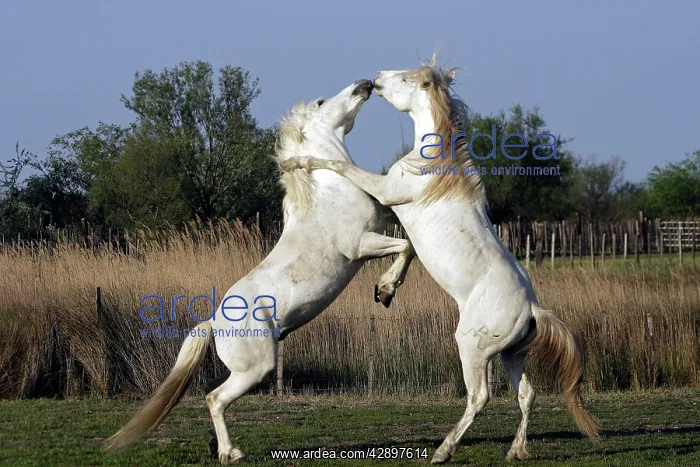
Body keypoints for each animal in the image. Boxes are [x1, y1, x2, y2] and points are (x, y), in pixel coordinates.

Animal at [104, 79, 416, 464]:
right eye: (321, 101)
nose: (364, 84)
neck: (327, 189)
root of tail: (213, 322)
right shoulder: (360, 246)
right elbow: (407, 247)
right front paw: (385, 290)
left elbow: (407, 245)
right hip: (257, 368)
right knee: (215, 398)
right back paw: (230, 452)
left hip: (241, 368)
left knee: (210, 391)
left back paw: (215, 446)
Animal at [279, 53, 600, 463]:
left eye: (404, 78)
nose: (374, 78)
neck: (429, 161)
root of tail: (531, 309)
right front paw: (385, 290)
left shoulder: (387, 190)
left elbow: (341, 166)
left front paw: (298, 163)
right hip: (512, 354)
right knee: (527, 394)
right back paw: (515, 450)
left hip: (473, 349)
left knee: (480, 397)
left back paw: (444, 450)